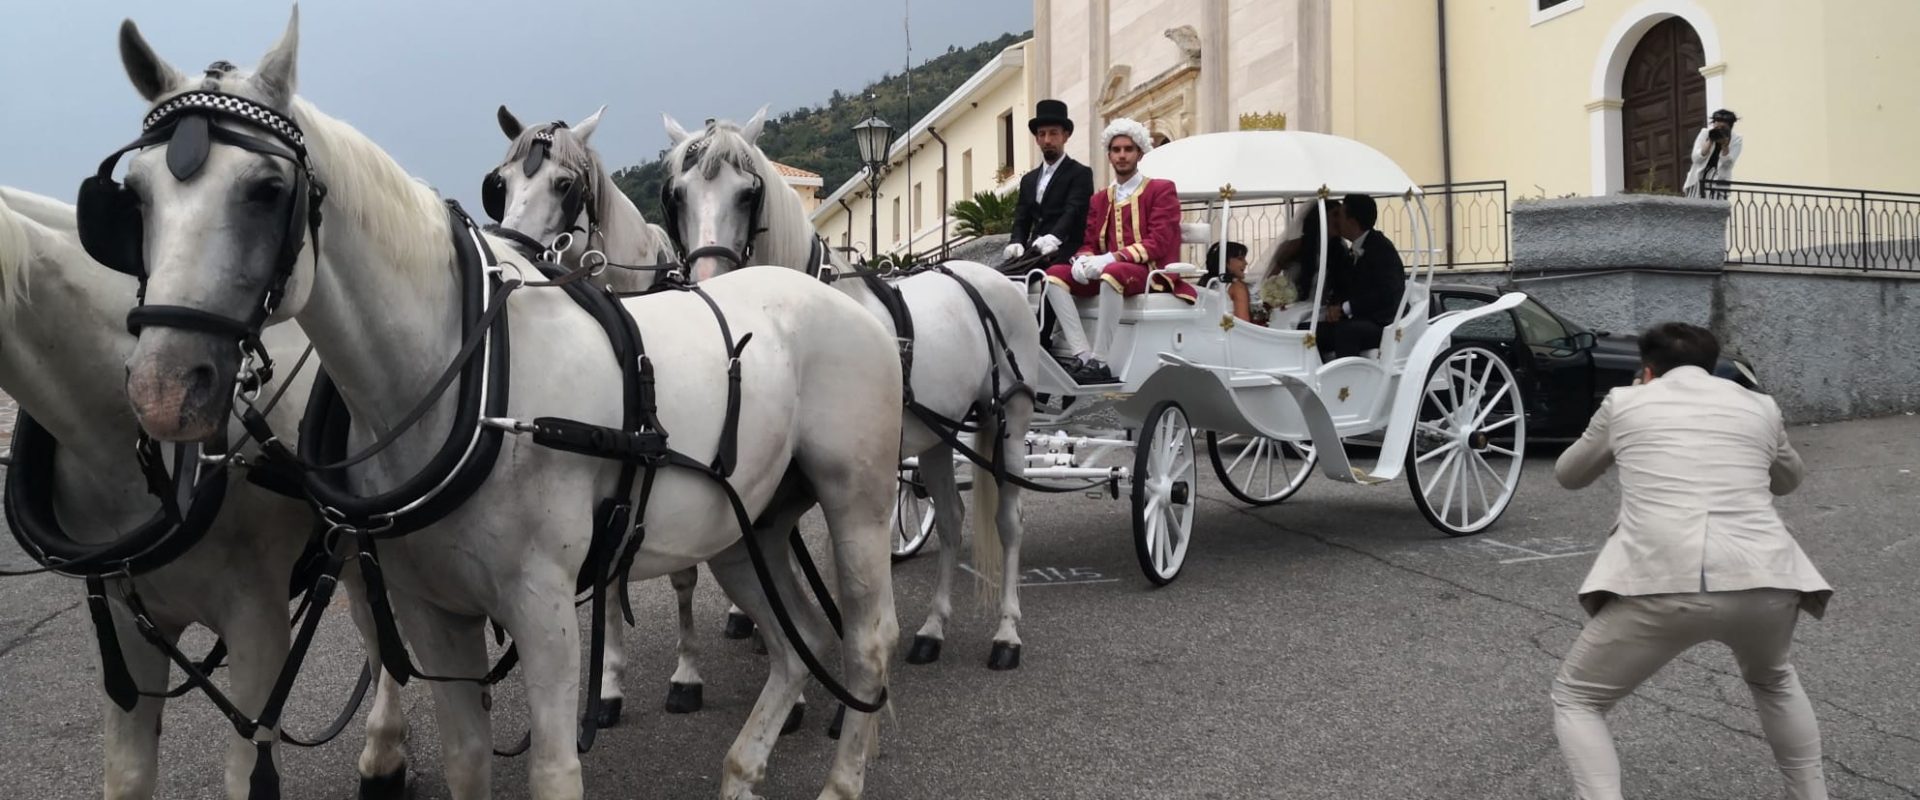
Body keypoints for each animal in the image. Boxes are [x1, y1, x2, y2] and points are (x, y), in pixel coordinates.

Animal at [0, 189, 416, 794]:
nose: (167, 399)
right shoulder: (125, 627)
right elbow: (126, 774)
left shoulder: (256, 619)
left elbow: (249, 775)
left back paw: (384, 752)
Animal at [480, 102, 714, 721]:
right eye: (500, 185)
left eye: (565, 185)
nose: (511, 255)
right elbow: (608, 577)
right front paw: (607, 683)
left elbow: (684, 574)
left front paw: (687, 673)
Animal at [668, 110, 1044, 667]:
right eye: (678, 194)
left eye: (747, 193)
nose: (709, 280)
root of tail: (987, 274)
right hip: (939, 432)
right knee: (951, 520)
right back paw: (933, 629)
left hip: (1010, 419)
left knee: (1010, 520)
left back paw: (1007, 633)